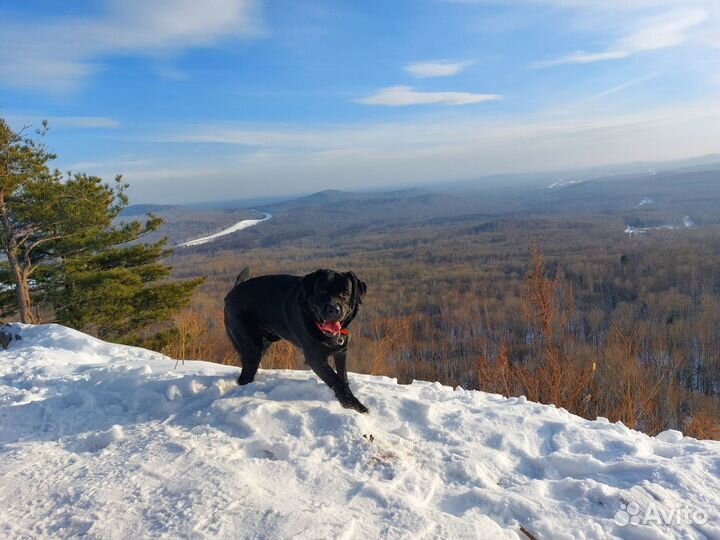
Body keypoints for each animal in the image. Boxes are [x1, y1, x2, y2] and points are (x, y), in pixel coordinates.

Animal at [224, 268, 372, 414]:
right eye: (321, 292)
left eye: (345, 293)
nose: (334, 309)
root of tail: (232, 292)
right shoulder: (315, 358)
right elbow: (336, 380)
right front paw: (355, 406)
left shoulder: (341, 352)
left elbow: (343, 377)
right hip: (251, 348)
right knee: (245, 375)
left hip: (263, 344)